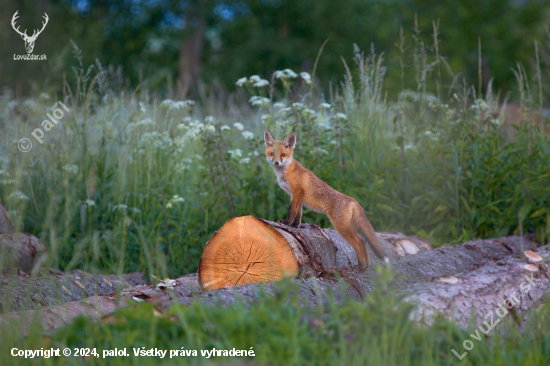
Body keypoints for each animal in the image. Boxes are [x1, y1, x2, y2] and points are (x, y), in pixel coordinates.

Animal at [266, 129, 390, 268]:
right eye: (272, 154)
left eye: (283, 154)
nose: (276, 162)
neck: (286, 171)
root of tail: (352, 199)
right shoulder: (298, 196)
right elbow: (298, 214)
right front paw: (295, 226)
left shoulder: (296, 193)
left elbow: (291, 210)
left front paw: (286, 223)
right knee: (363, 242)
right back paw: (365, 266)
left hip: (341, 227)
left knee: (359, 242)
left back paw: (361, 267)